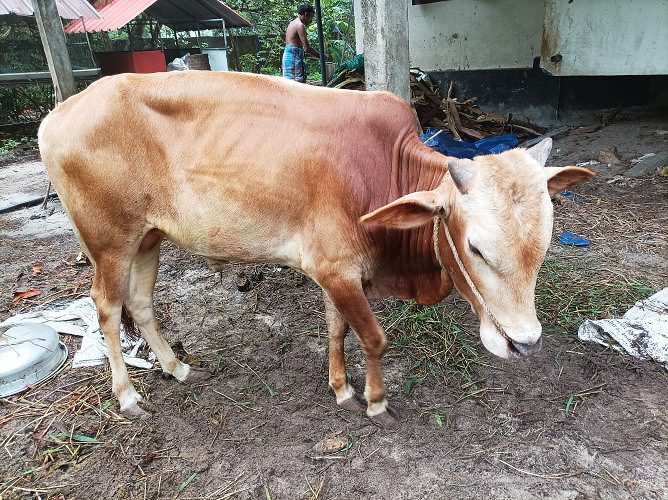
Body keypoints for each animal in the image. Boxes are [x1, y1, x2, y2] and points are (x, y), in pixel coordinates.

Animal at [38, 71, 594, 428]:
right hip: (110, 243)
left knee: (140, 304)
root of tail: (58, 113)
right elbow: (373, 338)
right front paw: (375, 402)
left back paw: (176, 366)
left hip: (147, 238)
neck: (382, 173)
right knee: (107, 308)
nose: (525, 342)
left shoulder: (334, 273)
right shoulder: (337, 270)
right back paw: (128, 396)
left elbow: (336, 330)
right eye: (475, 247)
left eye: (544, 241)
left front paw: (341, 388)